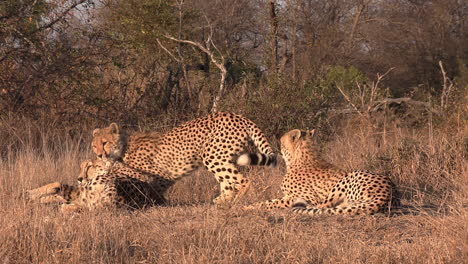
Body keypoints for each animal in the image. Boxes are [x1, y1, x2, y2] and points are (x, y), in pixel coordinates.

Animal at [27, 159, 166, 212]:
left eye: (89, 166)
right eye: (81, 167)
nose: (79, 178)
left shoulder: (79, 192)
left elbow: (56, 188)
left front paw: (32, 196)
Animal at [90, 111, 278, 204]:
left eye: (105, 143)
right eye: (94, 145)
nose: (99, 154)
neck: (123, 147)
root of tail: (238, 116)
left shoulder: (155, 175)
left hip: (212, 156)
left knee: (243, 181)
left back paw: (237, 200)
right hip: (221, 157)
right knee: (228, 183)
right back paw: (221, 201)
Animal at [245, 129, 398, 216]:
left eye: (281, 141)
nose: (276, 147)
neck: (301, 157)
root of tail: (388, 192)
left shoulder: (307, 197)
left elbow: (271, 203)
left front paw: (249, 207)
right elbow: (270, 200)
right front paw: (249, 205)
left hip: (349, 178)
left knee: (323, 206)